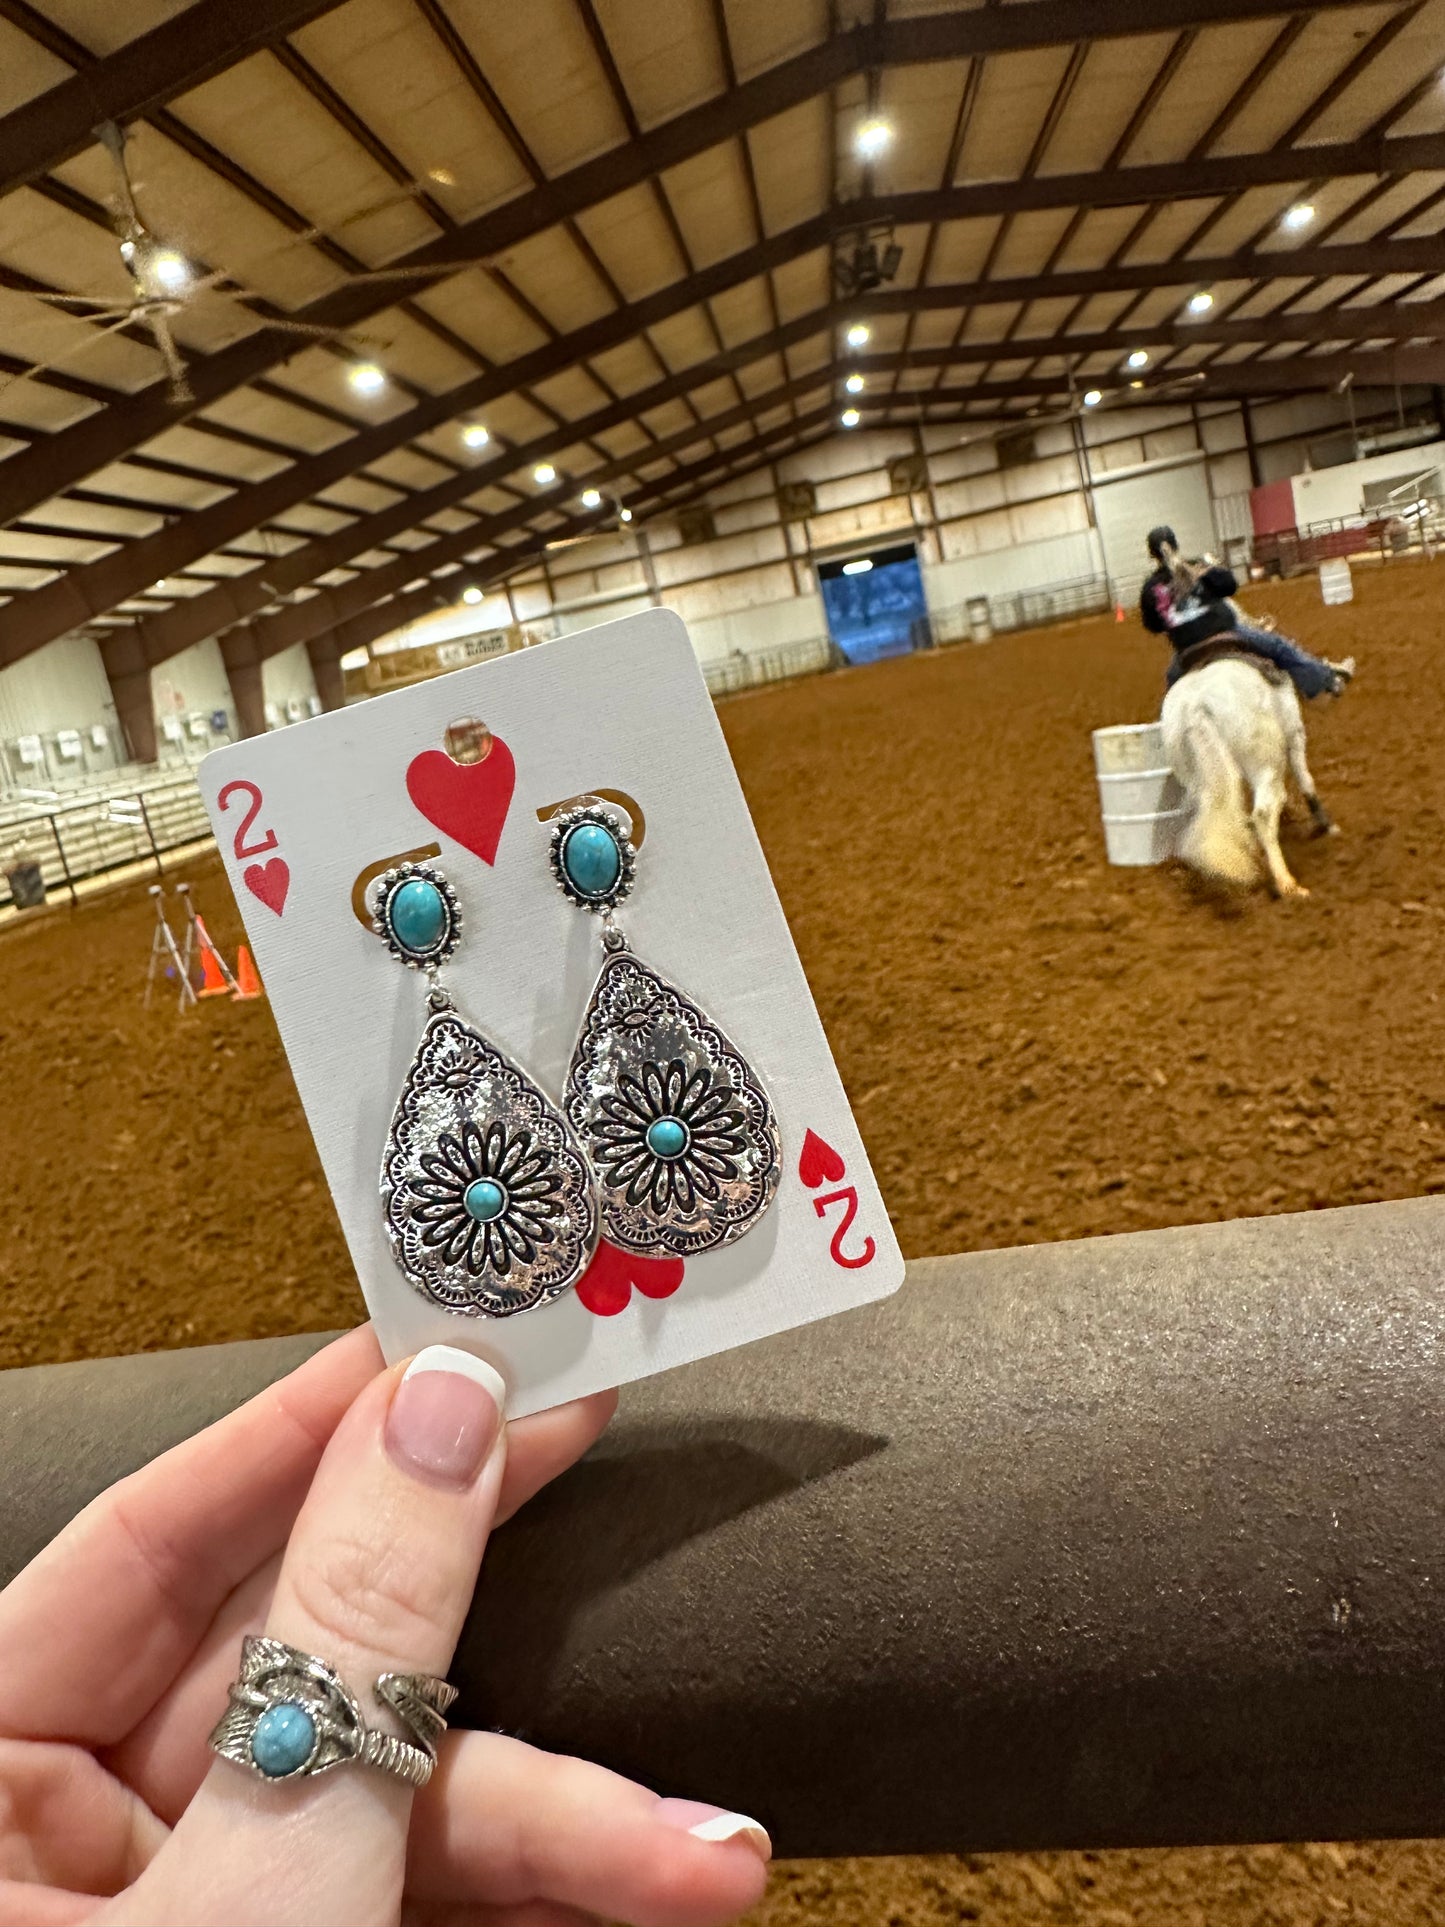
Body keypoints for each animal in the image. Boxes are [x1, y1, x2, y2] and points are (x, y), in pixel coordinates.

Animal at [1163, 659, 1333, 897]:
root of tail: (1195, 706)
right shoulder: (1295, 732)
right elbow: (1305, 778)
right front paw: (1325, 825)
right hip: (1266, 762)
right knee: (1263, 812)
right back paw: (1287, 883)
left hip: (1195, 776)